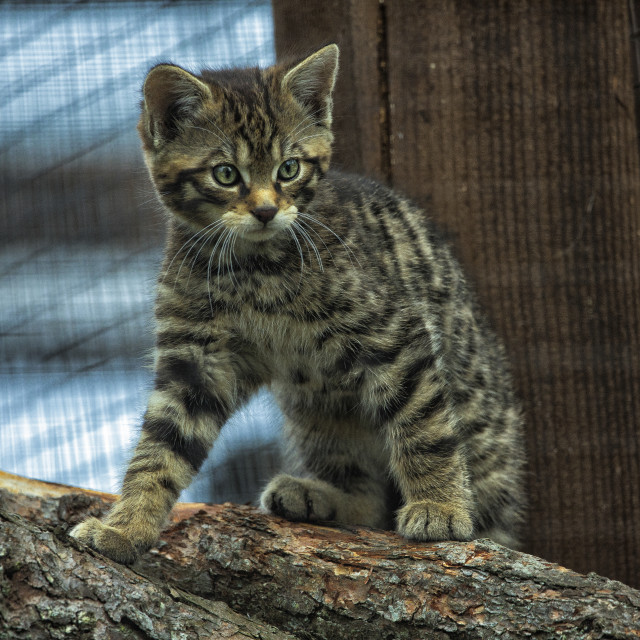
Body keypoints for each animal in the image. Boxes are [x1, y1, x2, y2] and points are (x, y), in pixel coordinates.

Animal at [71, 45, 524, 564]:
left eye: (289, 168)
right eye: (225, 174)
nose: (266, 210)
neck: (254, 269)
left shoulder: (396, 332)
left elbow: (424, 426)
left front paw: (440, 504)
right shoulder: (197, 360)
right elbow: (161, 448)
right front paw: (126, 527)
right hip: (318, 413)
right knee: (368, 500)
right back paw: (319, 495)